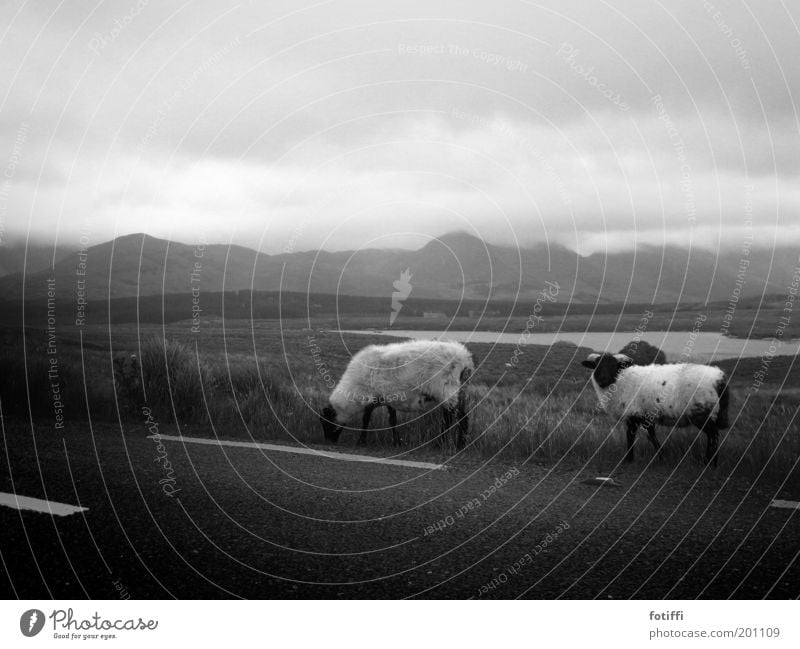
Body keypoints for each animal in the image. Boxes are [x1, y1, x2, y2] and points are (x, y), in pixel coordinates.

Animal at [320, 340, 476, 450]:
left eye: (326, 420)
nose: (328, 442)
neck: (354, 386)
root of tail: (465, 359)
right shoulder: (387, 398)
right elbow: (392, 420)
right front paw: (396, 442)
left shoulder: (372, 397)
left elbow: (365, 419)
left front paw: (361, 441)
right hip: (456, 392)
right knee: (449, 418)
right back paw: (441, 444)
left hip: (447, 389)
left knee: (461, 418)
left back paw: (459, 445)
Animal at [580, 352, 732, 464]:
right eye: (596, 366)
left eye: (613, 366)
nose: (602, 380)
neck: (622, 380)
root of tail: (720, 378)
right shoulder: (646, 416)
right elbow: (652, 436)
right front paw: (662, 457)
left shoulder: (633, 414)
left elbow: (630, 436)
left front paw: (628, 460)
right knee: (714, 435)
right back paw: (712, 463)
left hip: (701, 412)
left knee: (713, 435)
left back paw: (708, 463)